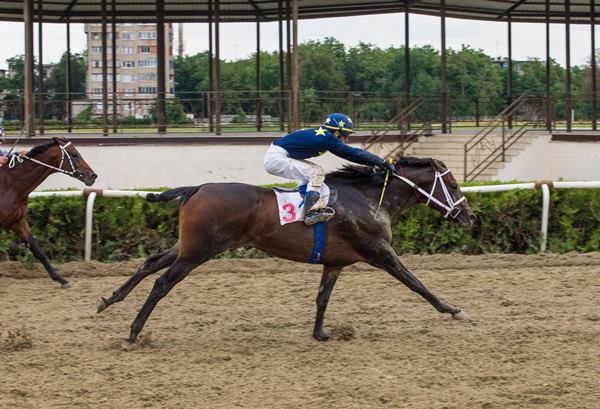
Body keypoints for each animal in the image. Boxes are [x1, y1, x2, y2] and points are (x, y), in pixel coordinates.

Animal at [0, 137, 97, 288]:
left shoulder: (17, 221)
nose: (93, 175)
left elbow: (38, 251)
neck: (9, 186)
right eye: (74, 154)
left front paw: (62, 280)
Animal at [97, 156, 476, 343]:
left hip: (187, 244)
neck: (369, 198)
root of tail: (196, 187)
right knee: (162, 283)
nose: (470, 216)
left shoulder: (335, 262)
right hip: (198, 251)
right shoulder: (380, 252)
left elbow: (322, 298)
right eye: (454, 184)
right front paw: (453, 309)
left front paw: (320, 333)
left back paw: (108, 300)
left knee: (150, 262)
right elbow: (417, 284)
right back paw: (133, 332)